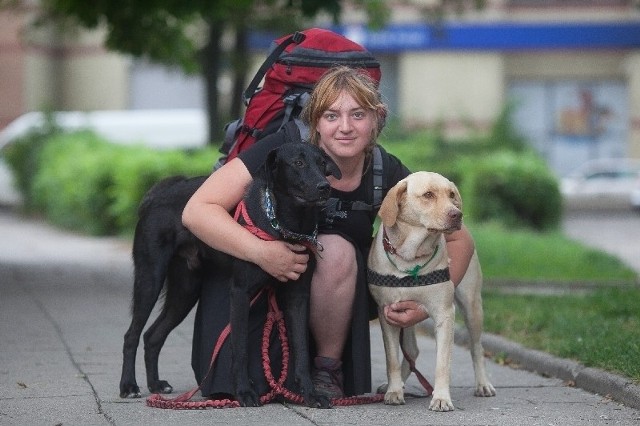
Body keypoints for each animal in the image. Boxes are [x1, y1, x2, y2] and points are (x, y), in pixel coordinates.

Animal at [119, 142, 340, 410]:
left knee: (152, 335)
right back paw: (129, 386)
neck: (285, 225)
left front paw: (310, 394)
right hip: (149, 278)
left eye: (322, 163)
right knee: (132, 335)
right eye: (298, 163)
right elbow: (240, 348)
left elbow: (301, 350)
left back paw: (156, 385)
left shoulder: (298, 296)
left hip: (185, 290)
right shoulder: (240, 292)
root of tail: (158, 194)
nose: (324, 186)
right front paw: (244, 392)